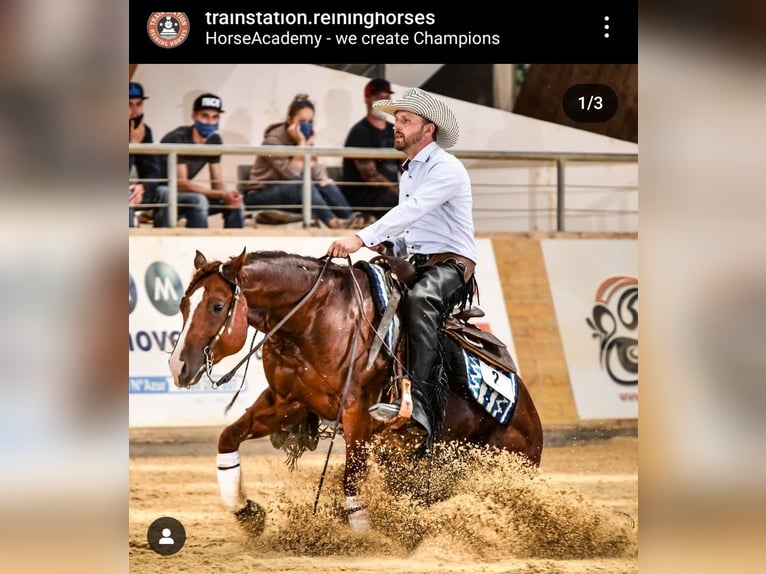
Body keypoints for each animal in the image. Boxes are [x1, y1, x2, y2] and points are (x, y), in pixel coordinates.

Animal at [170, 250, 540, 532]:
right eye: (184, 305)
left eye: (217, 306)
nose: (178, 366)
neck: (315, 316)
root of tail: (532, 422)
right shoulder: (287, 402)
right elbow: (229, 438)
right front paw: (246, 511)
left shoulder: (357, 411)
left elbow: (352, 478)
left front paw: (364, 538)